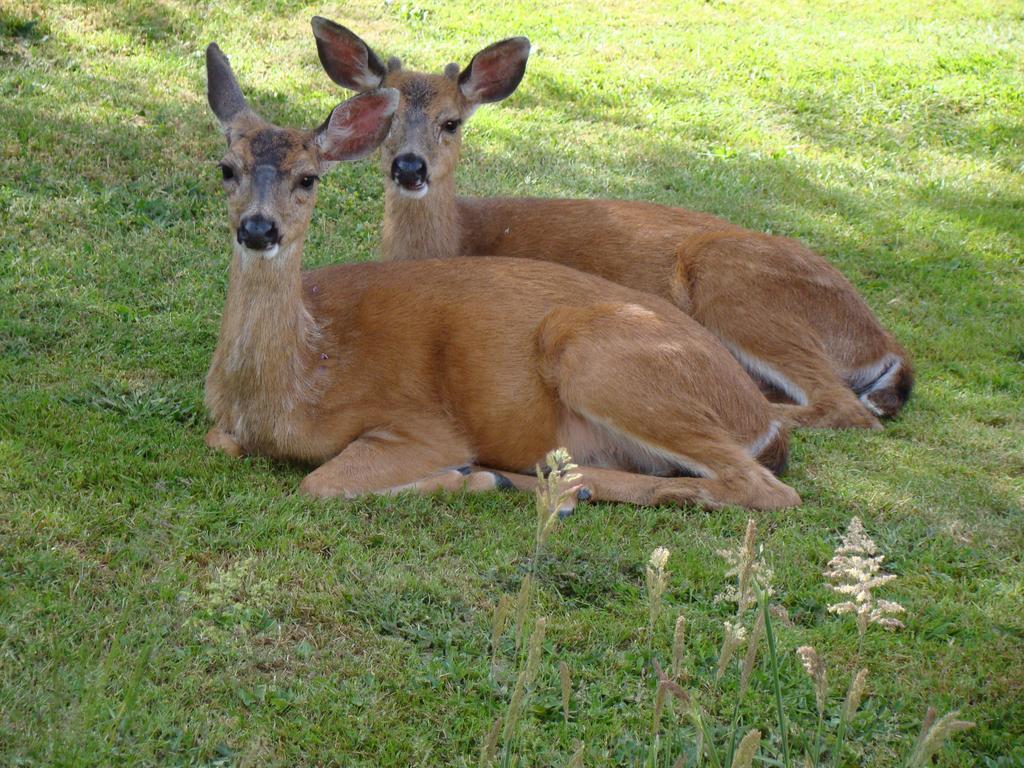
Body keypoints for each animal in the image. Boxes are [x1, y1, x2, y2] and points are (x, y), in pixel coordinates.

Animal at [199, 40, 802, 512]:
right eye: (226, 169)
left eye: (308, 179)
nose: (258, 228)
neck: (297, 383)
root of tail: (759, 418)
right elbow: (217, 440)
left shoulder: (421, 423)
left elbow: (321, 483)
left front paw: (469, 477)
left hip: (600, 359)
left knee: (765, 489)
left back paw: (530, 480)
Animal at [309, 18, 913, 436]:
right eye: (386, 121)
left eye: (451, 122)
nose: (409, 168)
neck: (457, 237)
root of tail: (880, 341)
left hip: (737, 285)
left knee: (842, 406)